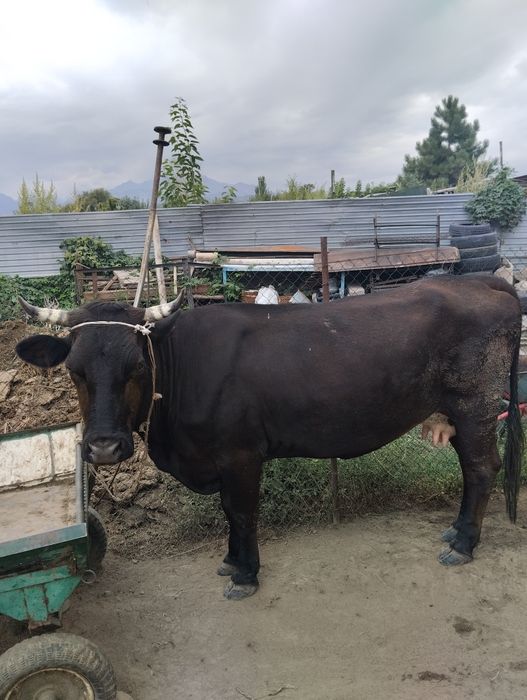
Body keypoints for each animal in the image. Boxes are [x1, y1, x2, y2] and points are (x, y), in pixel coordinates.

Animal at [15, 274, 524, 600]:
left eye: (137, 367)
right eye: (74, 370)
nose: (104, 447)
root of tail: (477, 280)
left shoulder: (240, 455)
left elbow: (241, 512)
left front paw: (245, 575)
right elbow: (227, 512)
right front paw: (231, 560)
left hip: (476, 406)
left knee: (482, 468)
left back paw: (463, 544)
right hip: (459, 412)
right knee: (472, 470)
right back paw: (456, 531)